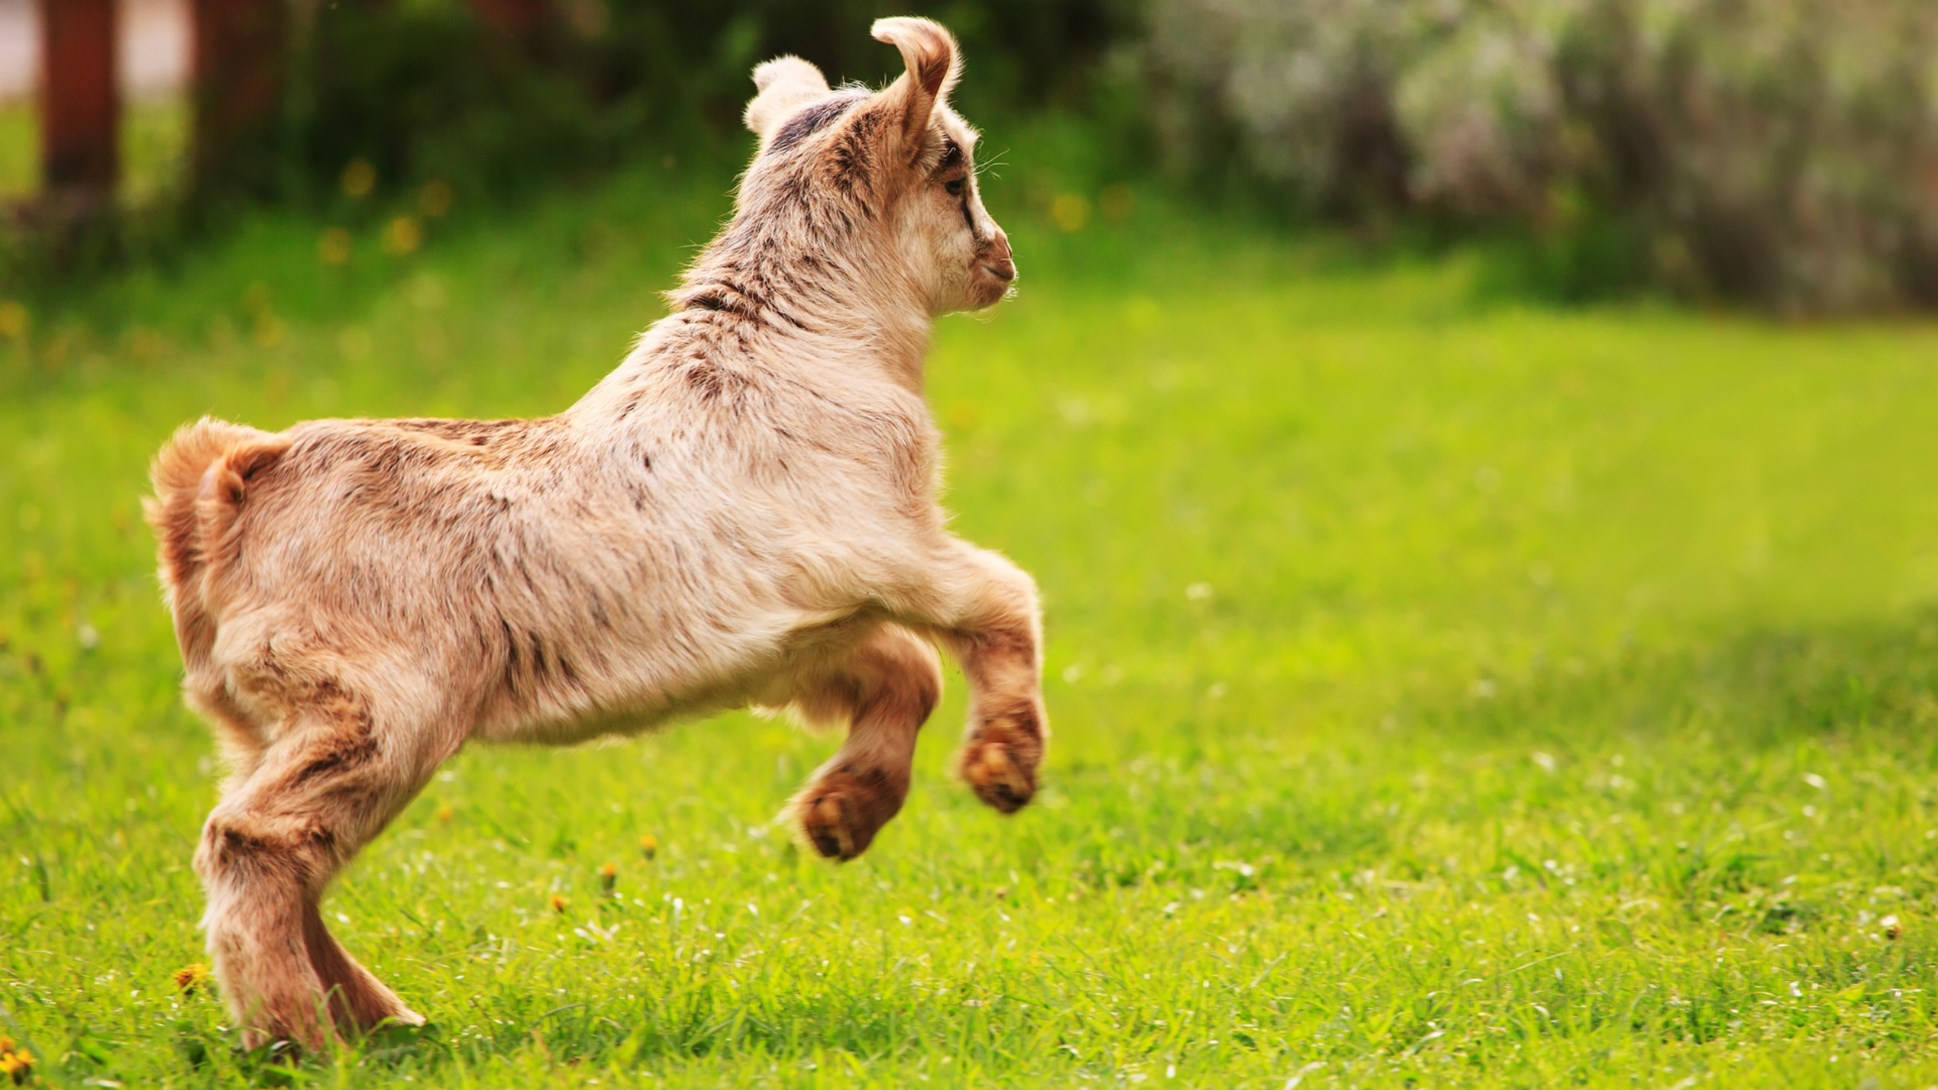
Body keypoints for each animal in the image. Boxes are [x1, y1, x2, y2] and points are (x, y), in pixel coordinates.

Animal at [144, 16, 1045, 1049]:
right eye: (955, 171)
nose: (1003, 260)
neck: (802, 340)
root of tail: (222, 490)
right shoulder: (884, 547)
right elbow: (1001, 601)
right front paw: (1003, 771)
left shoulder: (796, 633)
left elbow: (910, 670)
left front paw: (839, 819)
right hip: (379, 713)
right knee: (255, 843)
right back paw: (306, 1038)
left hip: (272, 722)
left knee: (293, 863)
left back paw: (382, 1022)